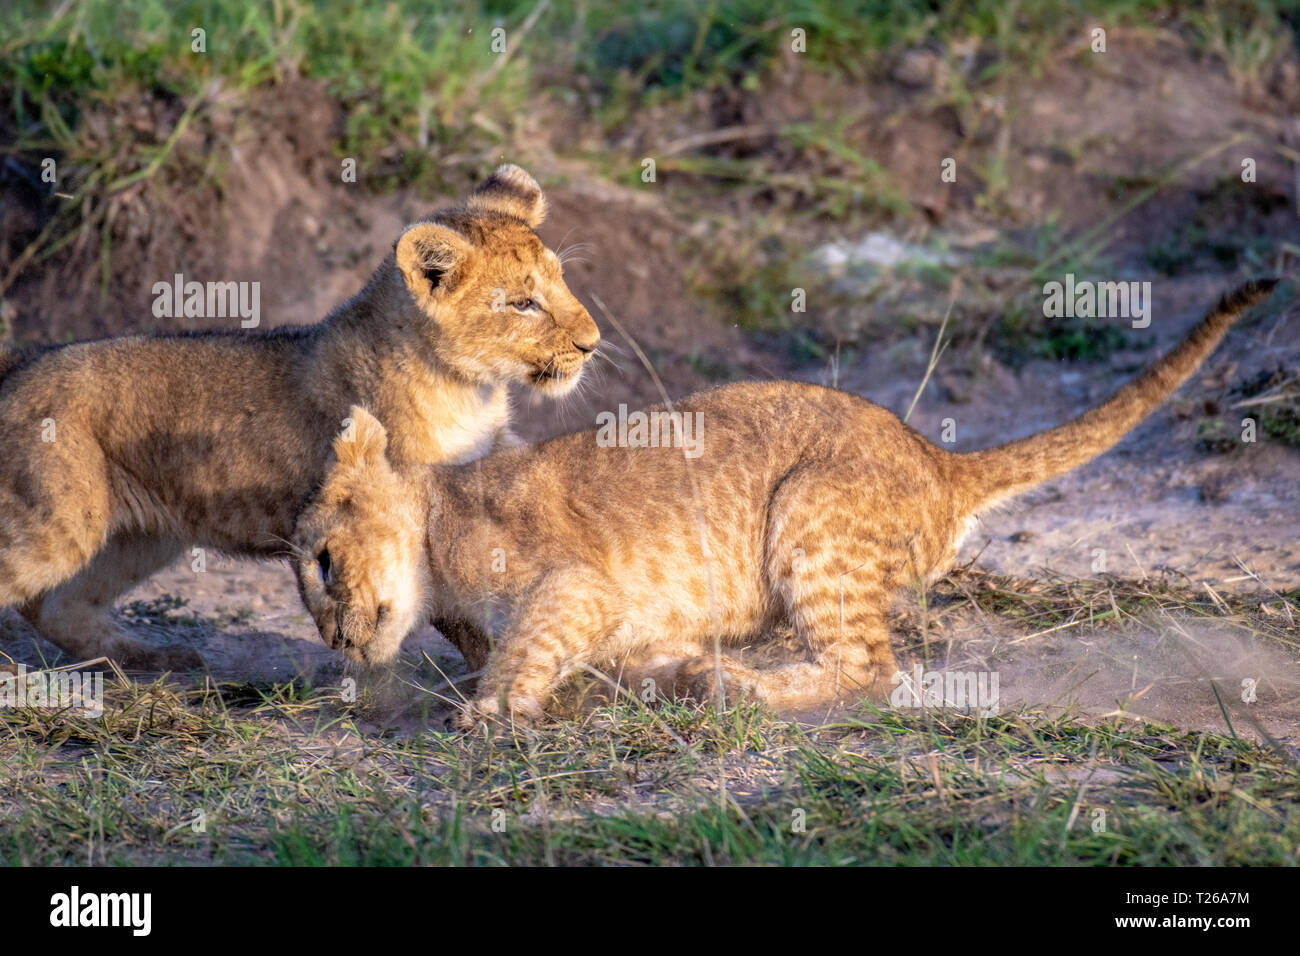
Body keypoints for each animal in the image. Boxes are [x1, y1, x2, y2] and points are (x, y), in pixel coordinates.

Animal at [0, 165, 600, 670]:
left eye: (561, 281)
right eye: (523, 303)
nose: (591, 343)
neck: (470, 390)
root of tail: (20, 363)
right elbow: (459, 615)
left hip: (138, 537)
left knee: (54, 607)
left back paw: (153, 658)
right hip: (55, 522)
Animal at [290, 281, 1275, 725]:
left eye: (324, 562)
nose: (338, 641)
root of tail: (936, 459)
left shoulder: (576, 584)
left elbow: (526, 642)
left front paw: (490, 711)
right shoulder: (627, 627)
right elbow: (635, 663)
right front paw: (689, 676)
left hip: (812, 509)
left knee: (870, 670)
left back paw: (757, 691)